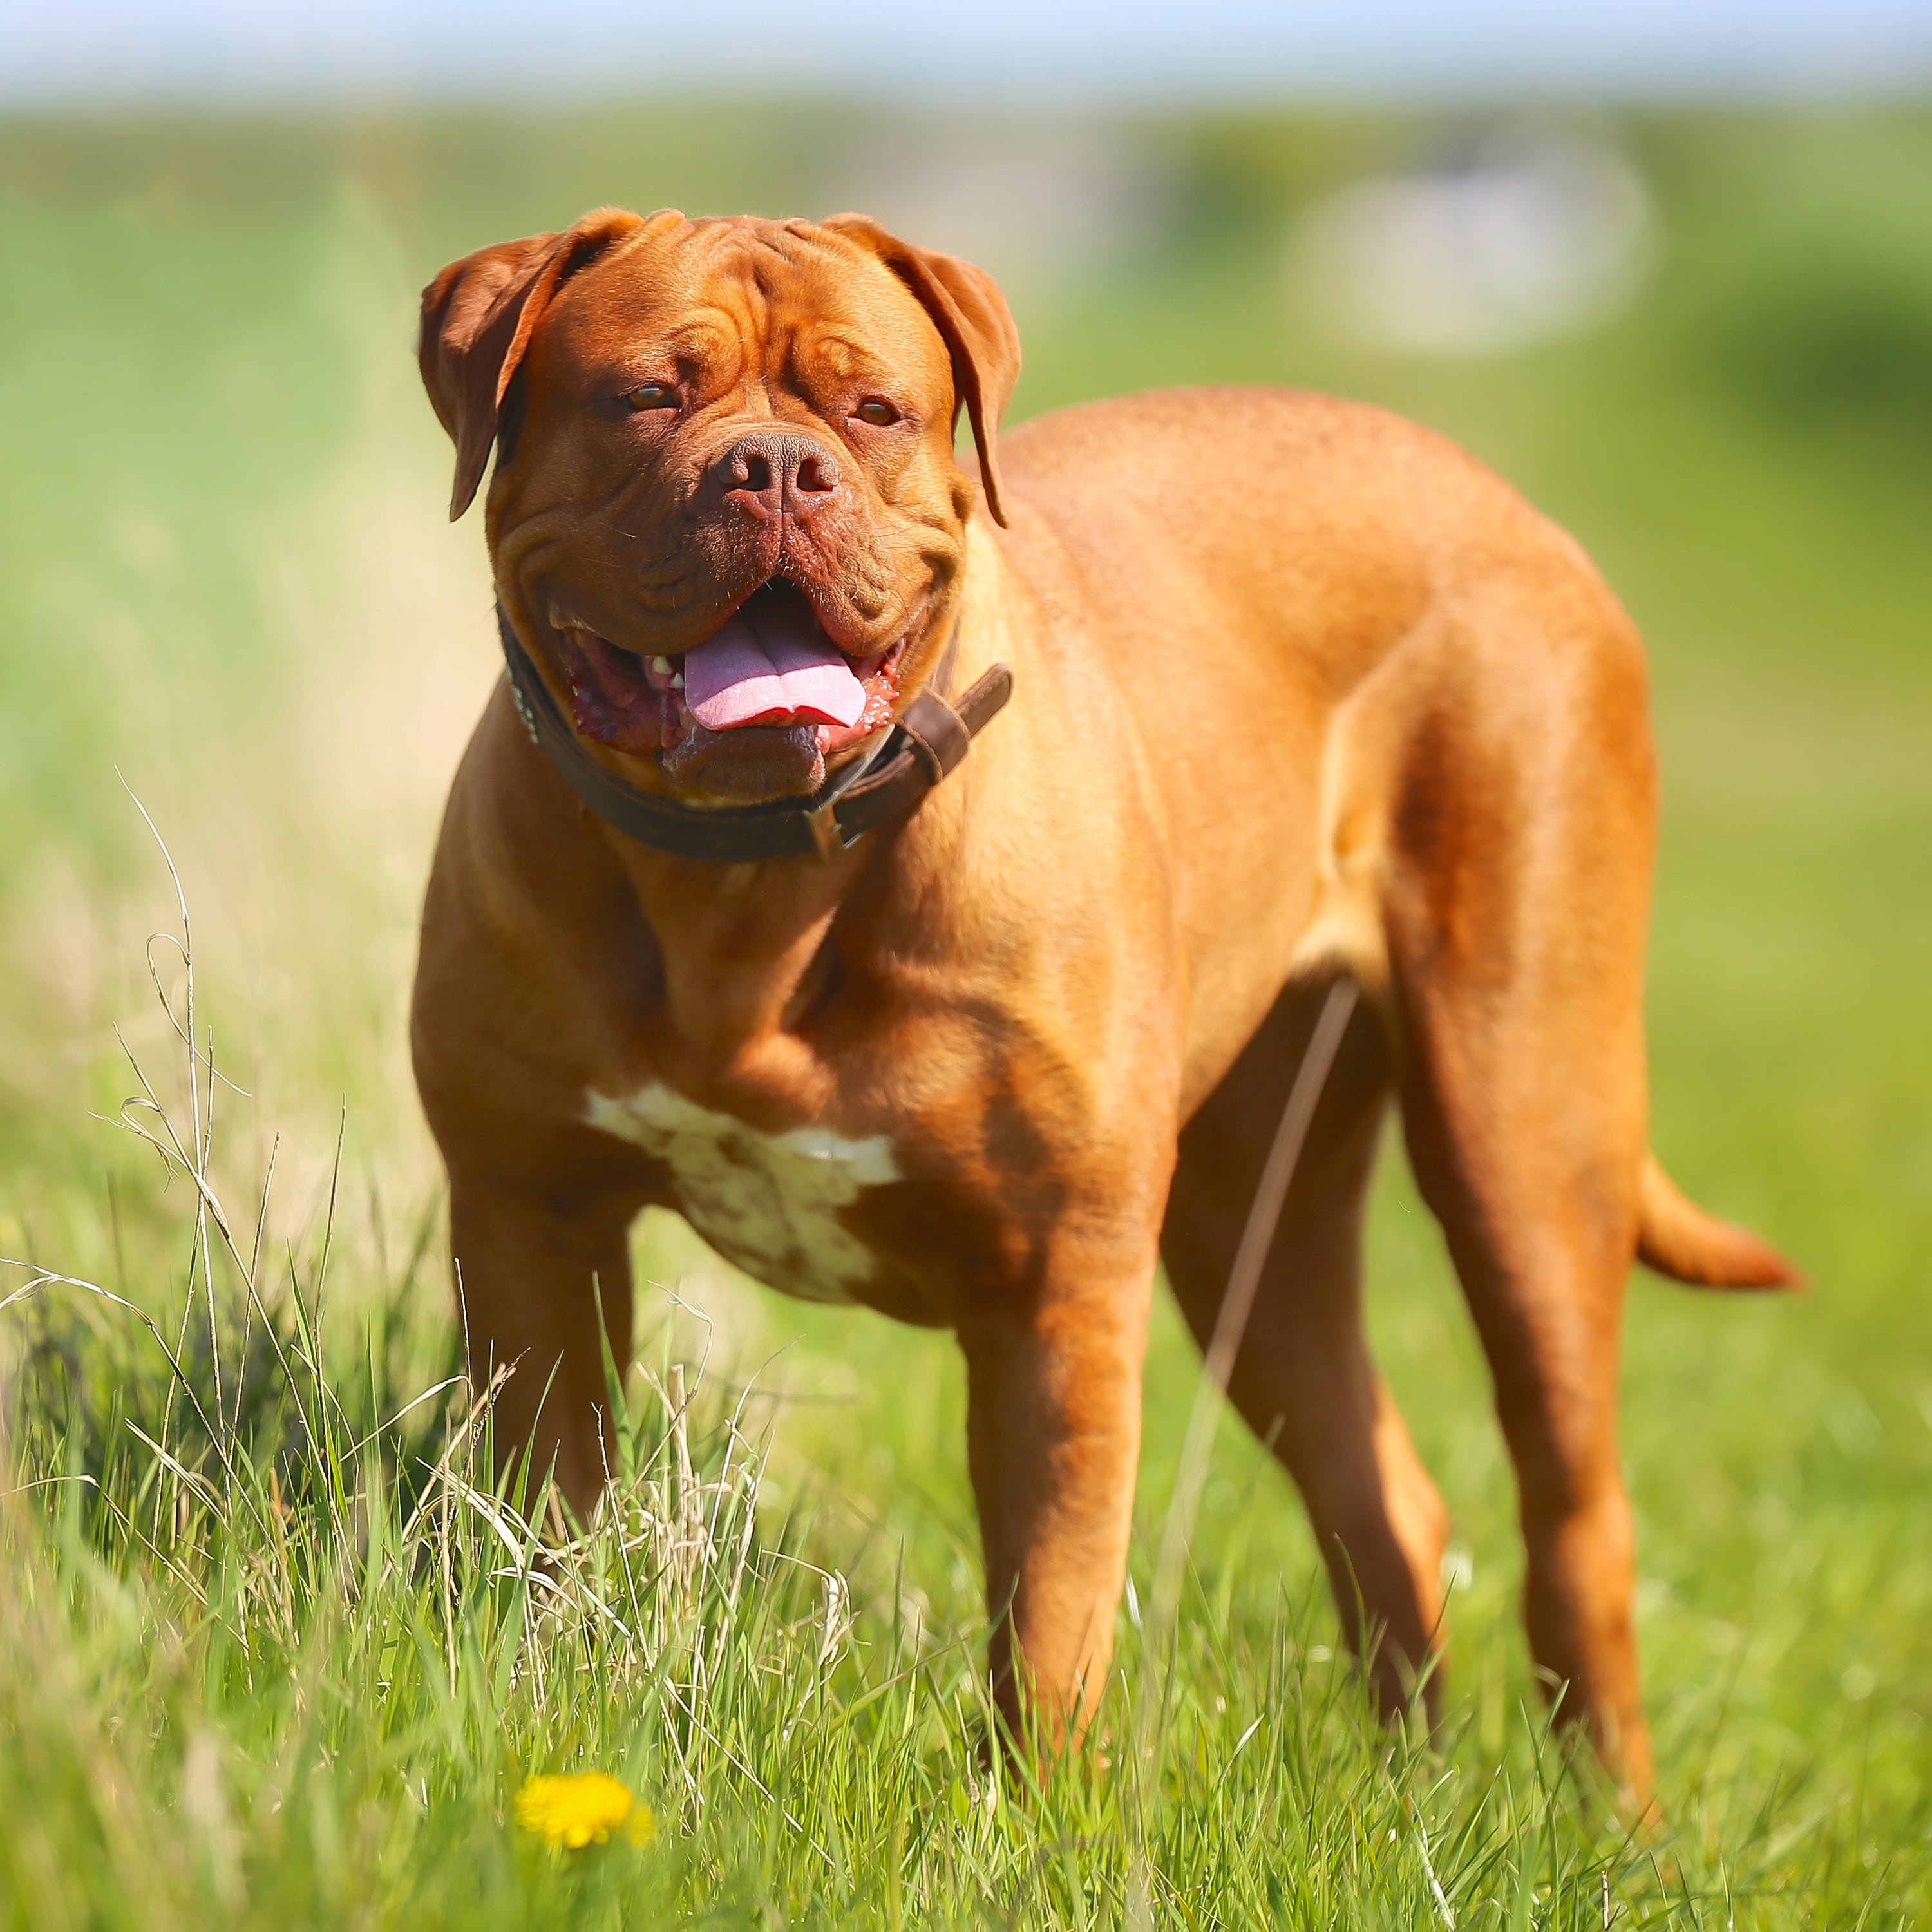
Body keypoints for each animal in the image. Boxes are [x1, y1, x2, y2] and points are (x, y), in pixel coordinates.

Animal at [412, 204, 1793, 1801]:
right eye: (647, 395)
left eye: (873, 410)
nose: (775, 468)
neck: (746, 883)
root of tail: (1509, 505)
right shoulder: (531, 1223)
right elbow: (547, 1523)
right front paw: (544, 1708)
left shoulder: (1057, 1288)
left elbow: (1053, 1604)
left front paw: (1027, 1815)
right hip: (1251, 1222)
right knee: (1382, 1490)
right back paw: (1414, 1792)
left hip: (1524, 1134)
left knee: (1577, 1515)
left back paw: (1608, 1819)